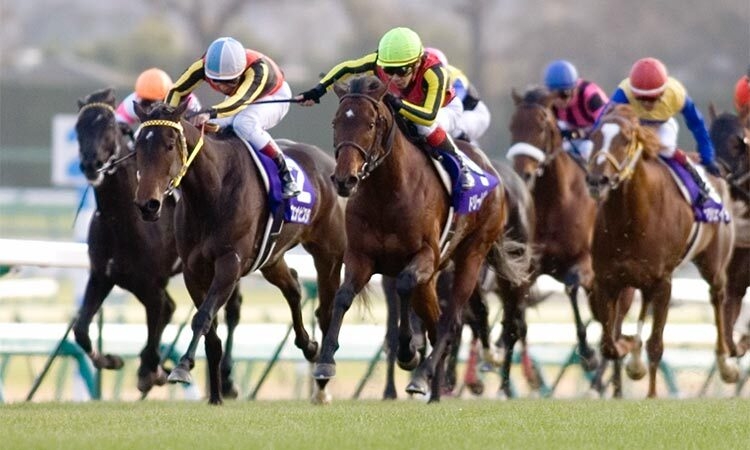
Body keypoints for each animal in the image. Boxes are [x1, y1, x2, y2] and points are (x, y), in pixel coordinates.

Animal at [75, 89, 244, 398]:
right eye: (79, 127)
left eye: (109, 126)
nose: (91, 165)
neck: (121, 220)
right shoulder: (102, 275)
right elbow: (81, 328)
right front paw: (111, 360)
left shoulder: (151, 283)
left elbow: (161, 314)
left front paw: (151, 370)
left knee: (233, 309)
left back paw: (226, 380)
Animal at [132, 100, 346, 402]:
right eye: (139, 145)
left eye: (170, 145)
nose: (147, 205)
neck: (212, 192)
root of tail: (327, 162)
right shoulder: (193, 271)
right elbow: (210, 331)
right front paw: (215, 396)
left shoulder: (229, 265)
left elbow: (202, 317)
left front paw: (183, 367)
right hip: (271, 258)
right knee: (293, 286)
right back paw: (309, 346)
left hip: (329, 253)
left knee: (326, 309)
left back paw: (324, 375)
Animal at [314, 75, 532, 402]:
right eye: (336, 121)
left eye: (370, 124)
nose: (344, 179)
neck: (386, 194)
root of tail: (491, 170)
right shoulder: (361, 257)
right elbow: (342, 297)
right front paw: (325, 362)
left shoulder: (424, 256)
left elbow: (405, 287)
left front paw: (409, 353)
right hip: (433, 278)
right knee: (436, 321)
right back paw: (436, 388)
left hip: (471, 255)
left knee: (450, 321)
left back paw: (423, 375)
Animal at [588, 103, 740, 398]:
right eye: (594, 136)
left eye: (626, 139)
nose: (597, 180)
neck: (630, 220)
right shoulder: (607, 280)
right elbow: (608, 344)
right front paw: (626, 349)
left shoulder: (663, 282)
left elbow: (655, 345)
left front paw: (651, 395)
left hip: (714, 265)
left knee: (718, 298)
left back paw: (726, 365)